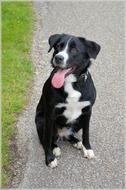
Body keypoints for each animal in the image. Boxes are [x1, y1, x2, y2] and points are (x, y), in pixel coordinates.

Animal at [35, 33, 100, 168]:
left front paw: (87, 148)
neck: (71, 83)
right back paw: (54, 148)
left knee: (70, 135)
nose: (58, 58)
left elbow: (86, 133)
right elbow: (47, 138)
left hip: (78, 120)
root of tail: (62, 134)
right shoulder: (50, 114)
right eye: (58, 47)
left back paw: (76, 142)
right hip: (41, 120)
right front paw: (49, 159)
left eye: (74, 50)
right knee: (45, 139)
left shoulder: (87, 112)